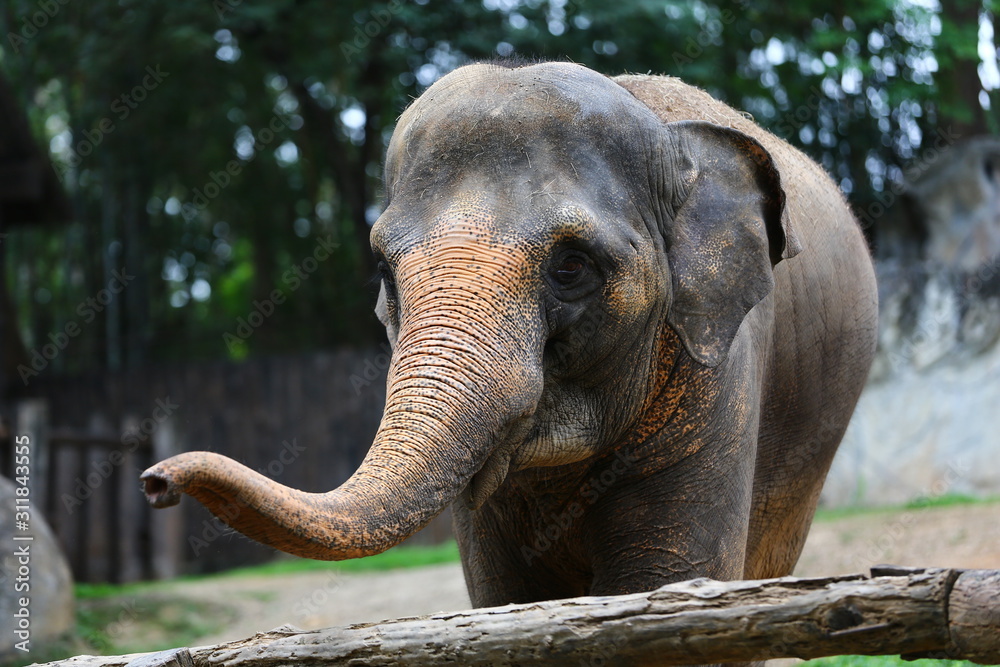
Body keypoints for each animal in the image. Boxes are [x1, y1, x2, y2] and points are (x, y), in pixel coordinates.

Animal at [142, 61, 878, 608]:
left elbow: (666, 579)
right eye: (382, 270)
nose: (155, 481)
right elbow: (506, 599)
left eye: (571, 266)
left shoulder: (718, 371)